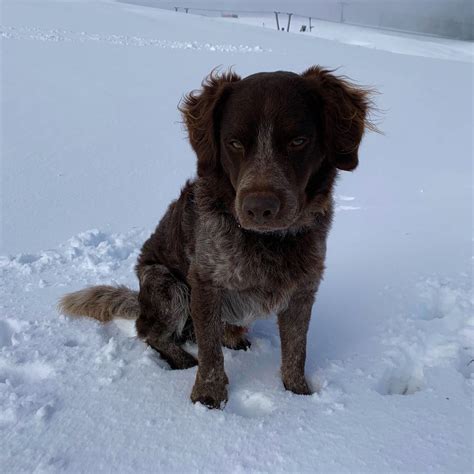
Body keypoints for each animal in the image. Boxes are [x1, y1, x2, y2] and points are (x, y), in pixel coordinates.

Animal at [58, 65, 374, 408]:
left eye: (298, 141)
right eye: (234, 143)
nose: (259, 208)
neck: (268, 241)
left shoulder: (303, 288)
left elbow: (295, 351)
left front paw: (298, 396)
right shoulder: (205, 282)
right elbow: (210, 353)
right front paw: (209, 398)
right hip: (166, 283)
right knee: (151, 332)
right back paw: (181, 358)